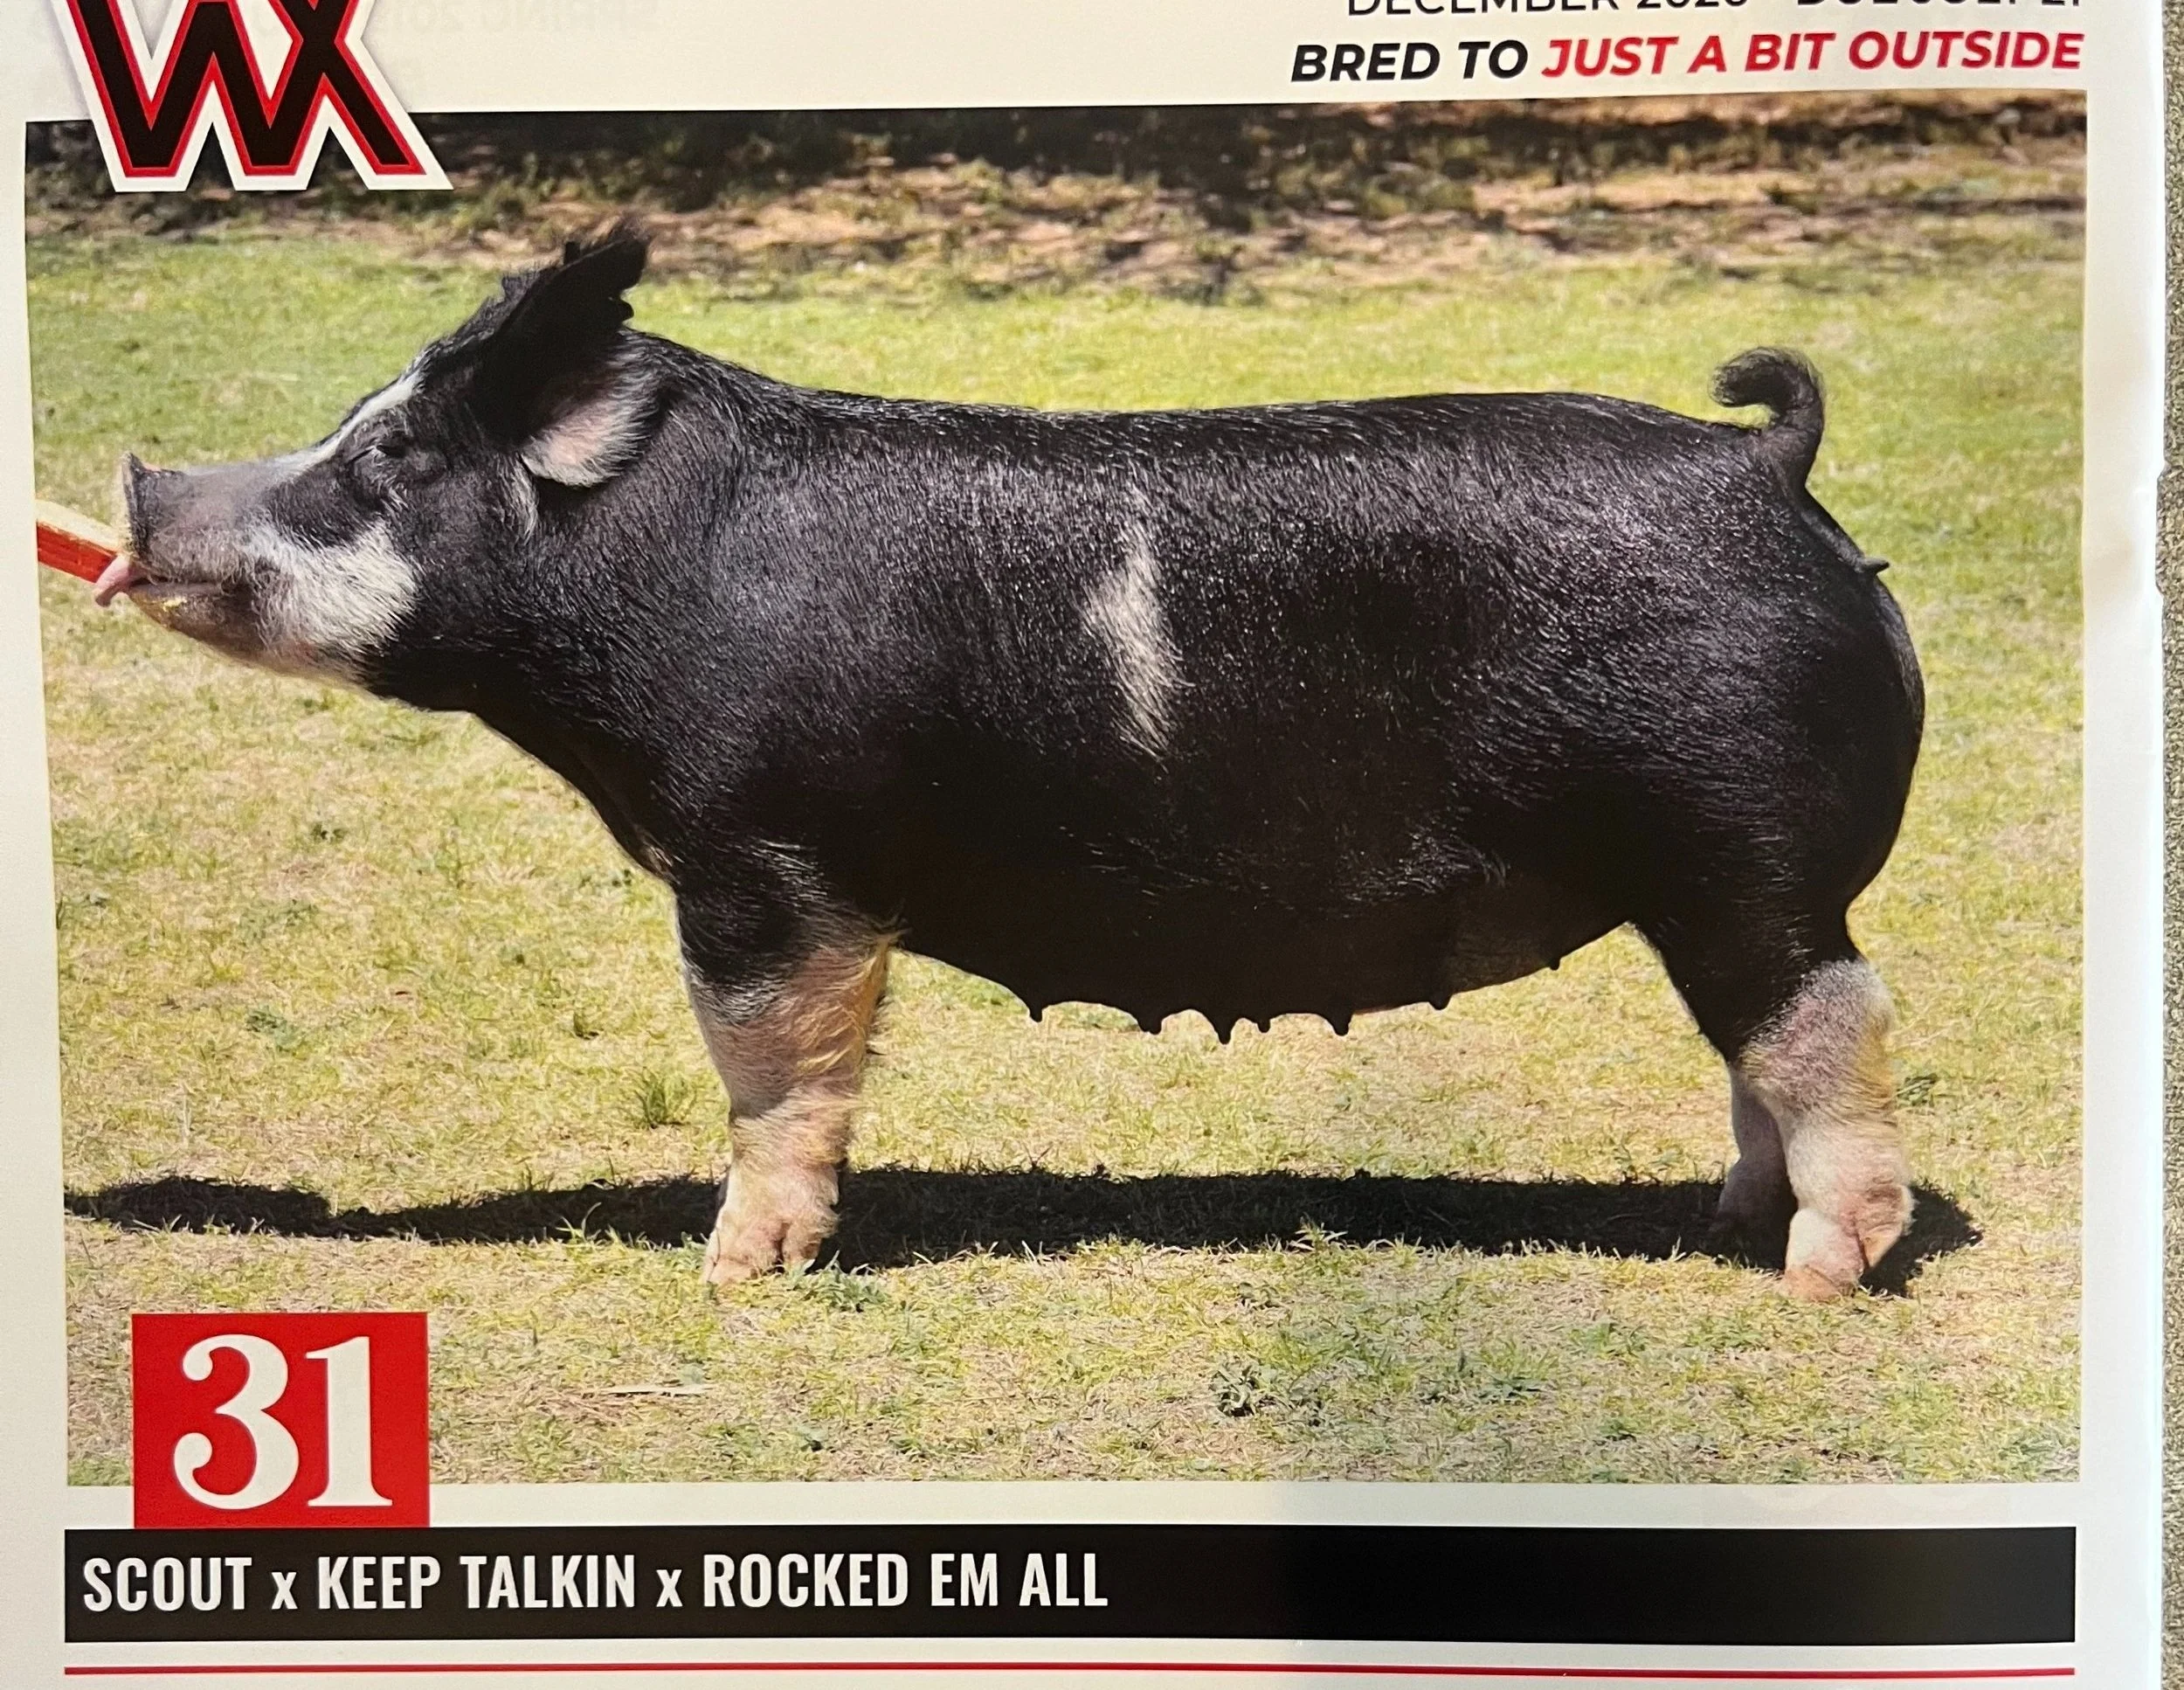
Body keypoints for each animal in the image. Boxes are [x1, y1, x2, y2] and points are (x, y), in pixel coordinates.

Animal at [100, 227, 1923, 1300]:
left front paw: (737, 1271)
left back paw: (1817, 1272)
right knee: (1764, 1039)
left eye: (393, 457)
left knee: (1831, 1018)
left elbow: (770, 1060)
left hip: (1741, 847)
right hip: (1719, 875)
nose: (138, 484)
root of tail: (1765, 466)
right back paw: (1725, 1220)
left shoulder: (765, 850)